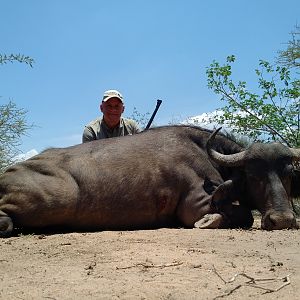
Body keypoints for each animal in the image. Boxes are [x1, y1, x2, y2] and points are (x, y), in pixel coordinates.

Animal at [0, 124, 298, 237]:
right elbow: (243, 214)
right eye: (253, 175)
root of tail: (7, 173)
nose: (282, 220)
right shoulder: (196, 205)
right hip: (61, 198)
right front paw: (210, 221)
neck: (204, 149)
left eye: (287, 173)